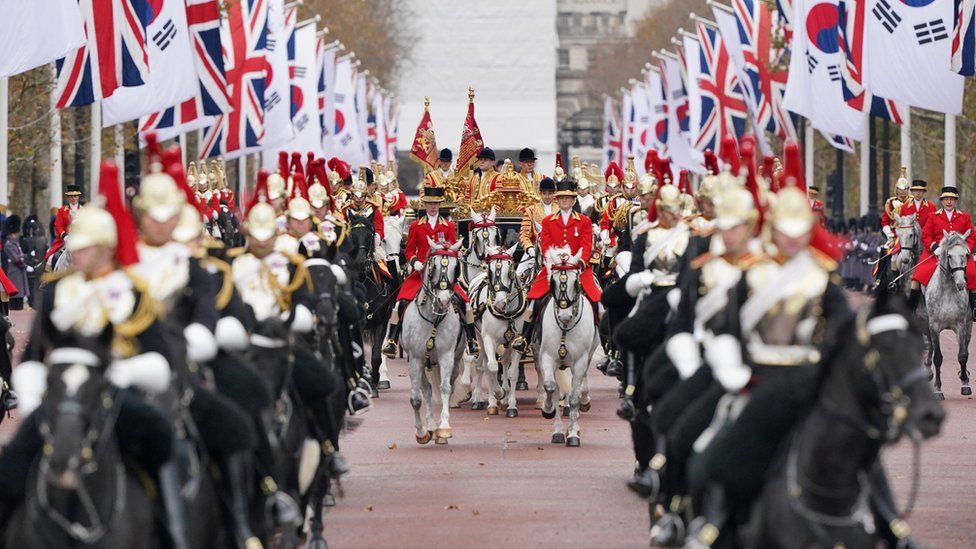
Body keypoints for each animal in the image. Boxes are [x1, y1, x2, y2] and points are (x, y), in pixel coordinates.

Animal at [402, 238, 468, 444]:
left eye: (456, 268)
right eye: (433, 266)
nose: (444, 300)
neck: (433, 318)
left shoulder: (447, 356)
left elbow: (446, 388)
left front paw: (444, 427)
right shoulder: (415, 359)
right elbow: (416, 398)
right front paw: (422, 432)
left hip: (455, 358)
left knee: (449, 384)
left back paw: (438, 428)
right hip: (422, 362)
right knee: (427, 390)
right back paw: (430, 426)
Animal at [528, 247, 600, 446]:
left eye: (576, 281)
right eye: (552, 281)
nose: (565, 315)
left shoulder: (580, 362)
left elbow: (574, 398)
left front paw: (573, 434)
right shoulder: (547, 358)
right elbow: (551, 388)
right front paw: (548, 411)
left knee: (581, 384)